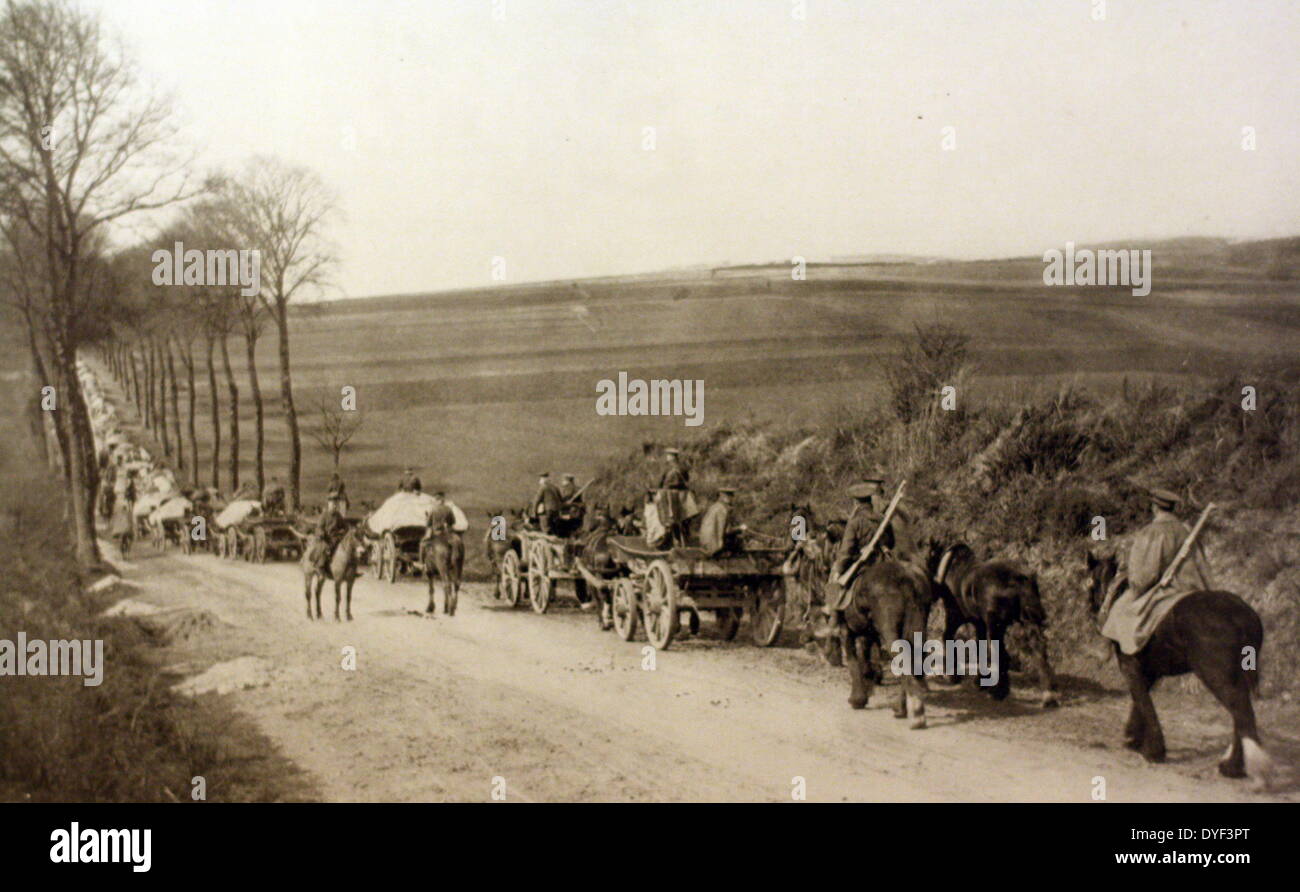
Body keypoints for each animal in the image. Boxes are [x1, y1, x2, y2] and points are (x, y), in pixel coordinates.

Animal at [930, 540, 1060, 707]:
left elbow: (948, 637)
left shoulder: (956, 617)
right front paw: (979, 681)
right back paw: (1049, 695)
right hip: (1031, 619)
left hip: (995, 624)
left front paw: (954, 676)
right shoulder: (980, 622)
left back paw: (998, 692)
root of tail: (1017, 577)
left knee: (1002, 654)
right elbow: (979, 646)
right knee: (1039, 649)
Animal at [1081, 551, 1274, 790]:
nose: (1092, 610)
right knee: (1240, 713)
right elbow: (1140, 699)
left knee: (1242, 711)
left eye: (1090, 580)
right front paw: (1133, 738)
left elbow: (1142, 699)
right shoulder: (1150, 671)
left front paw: (1153, 750)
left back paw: (1247, 770)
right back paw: (1232, 765)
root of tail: (1244, 617)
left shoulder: (1129, 664)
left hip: (1217, 675)